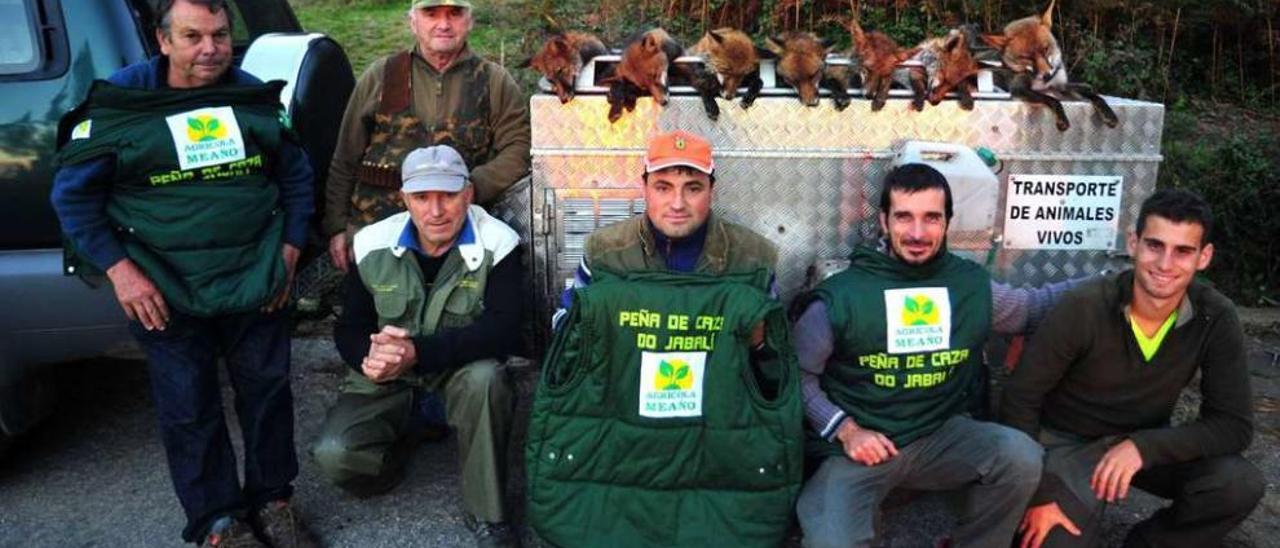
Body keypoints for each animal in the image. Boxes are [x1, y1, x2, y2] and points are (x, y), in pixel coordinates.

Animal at [983, 0, 1116, 130]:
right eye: (1027, 58)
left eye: (1046, 49)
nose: (1047, 75)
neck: (1044, 85)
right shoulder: (1019, 89)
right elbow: (1052, 100)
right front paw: (1062, 118)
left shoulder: (1059, 86)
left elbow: (1094, 96)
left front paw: (1108, 113)